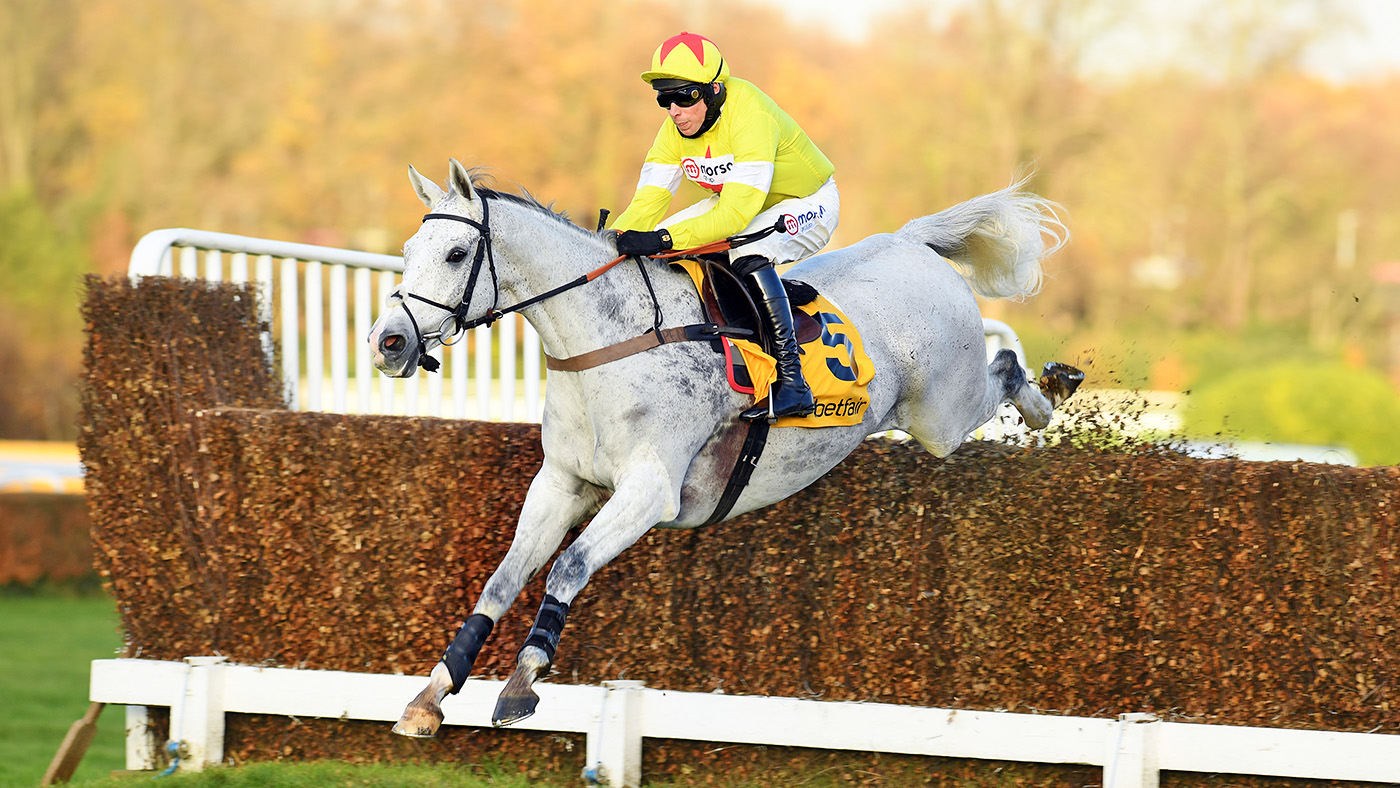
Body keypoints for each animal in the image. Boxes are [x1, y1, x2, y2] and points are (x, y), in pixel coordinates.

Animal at [366, 157, 1075, 739]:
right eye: (408, 249)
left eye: (456, 253)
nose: (388, 342)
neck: (607, 343)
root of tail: (908, 242)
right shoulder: (563, 481)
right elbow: (502, 580)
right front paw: (431, 695)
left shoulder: (650, 490)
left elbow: (568, 568)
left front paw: (522, 680)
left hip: (941, 416)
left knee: (1004, 368)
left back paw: (1053, 394)